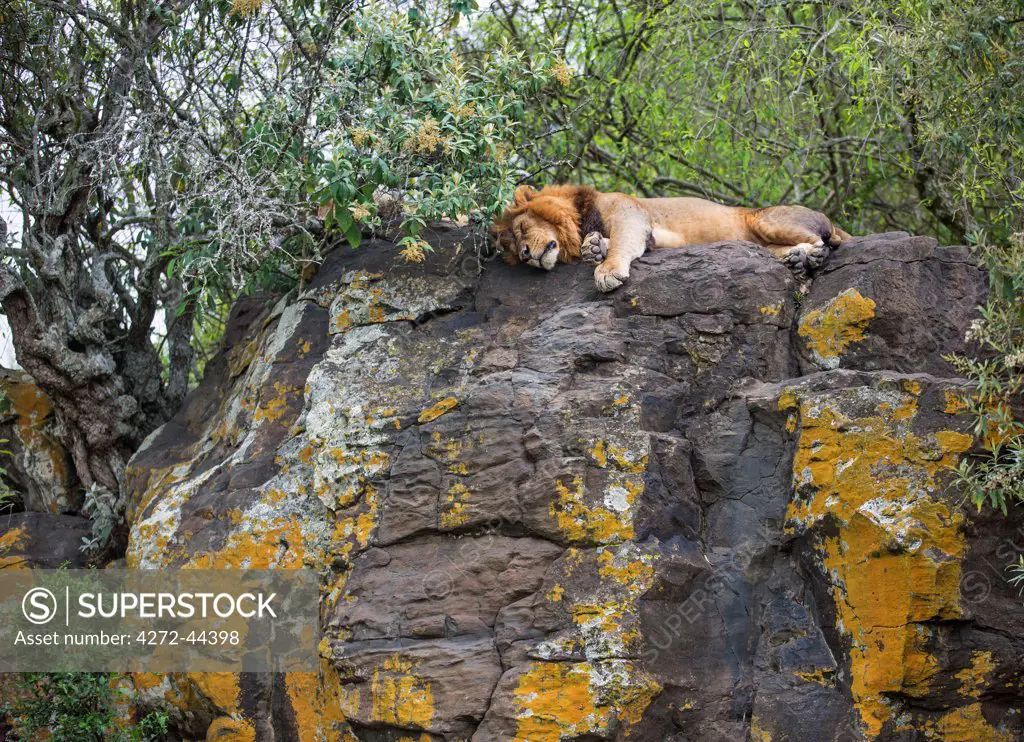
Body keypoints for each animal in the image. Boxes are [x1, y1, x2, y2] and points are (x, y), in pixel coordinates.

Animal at [491, 184, 851, 290]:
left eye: (521, 230)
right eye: (514, 245)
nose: (525, 254)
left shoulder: (630, 213)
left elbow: (622, 243)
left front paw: (606, 269)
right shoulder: (653, 235)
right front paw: (594, 247)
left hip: (765, 220)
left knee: (828, 240)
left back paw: (810, 257)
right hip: (763, 242)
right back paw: (796, 259)